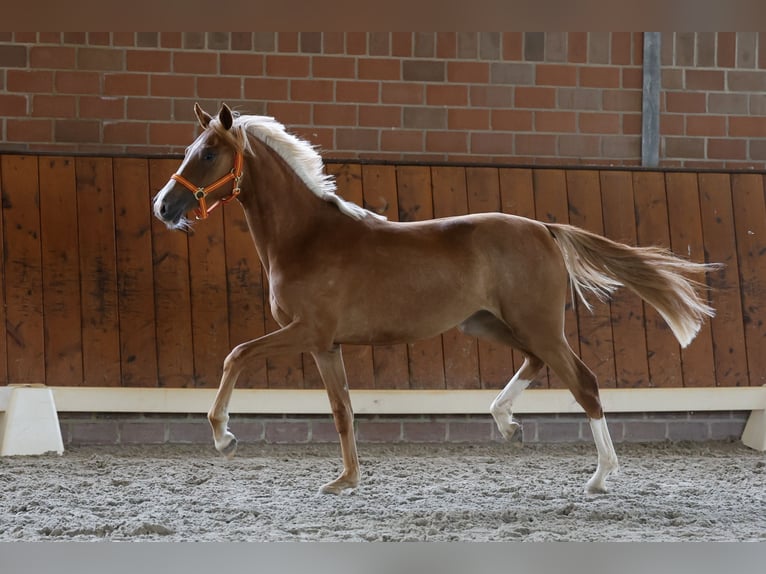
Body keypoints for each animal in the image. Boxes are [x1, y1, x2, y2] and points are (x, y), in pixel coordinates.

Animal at [153, 103, 719, 495]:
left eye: (208, 154)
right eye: (188, 151)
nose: (163, 206)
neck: (306, 237)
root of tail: (544, 228)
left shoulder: (307, 332)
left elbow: (236, 354)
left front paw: (224, 436)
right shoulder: (325, 344)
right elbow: (342, 410)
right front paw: (345, 481)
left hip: (535, 324)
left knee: (585, 382)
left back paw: (600, 476)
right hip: (490, 323)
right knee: (539, 365)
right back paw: (507, 423)